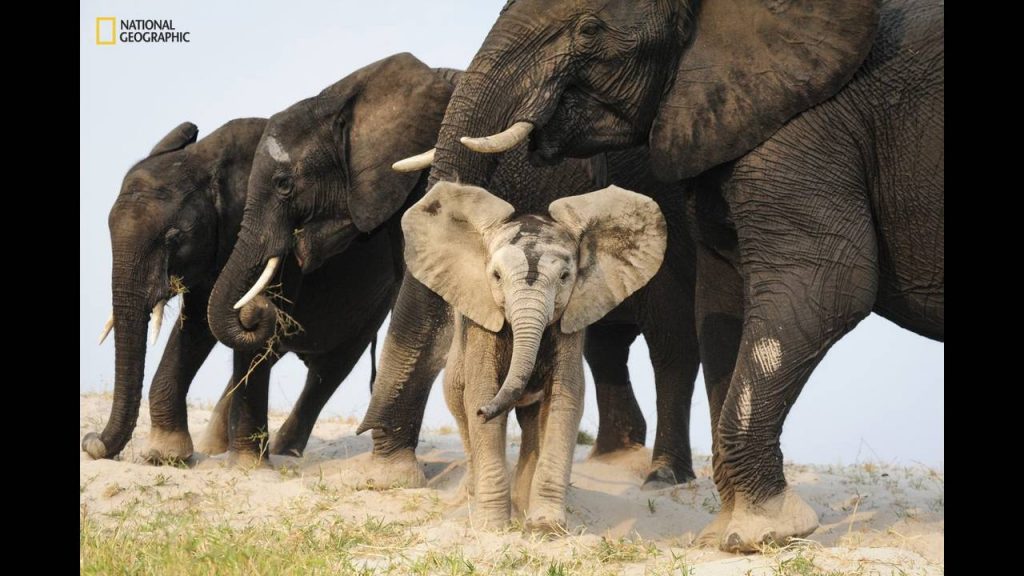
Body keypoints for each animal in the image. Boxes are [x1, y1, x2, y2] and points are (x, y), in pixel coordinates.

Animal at [401, 182, 671, 528]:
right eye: (496, 276)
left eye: (565, 276)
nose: (484, 412)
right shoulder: (482, 323)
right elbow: (481, 391)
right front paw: (493, 528)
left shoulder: (571, 319)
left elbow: (564, 400)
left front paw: (546, 528)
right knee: (462, 410)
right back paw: (474, 501)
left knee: (531, 423)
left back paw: (521, 508)